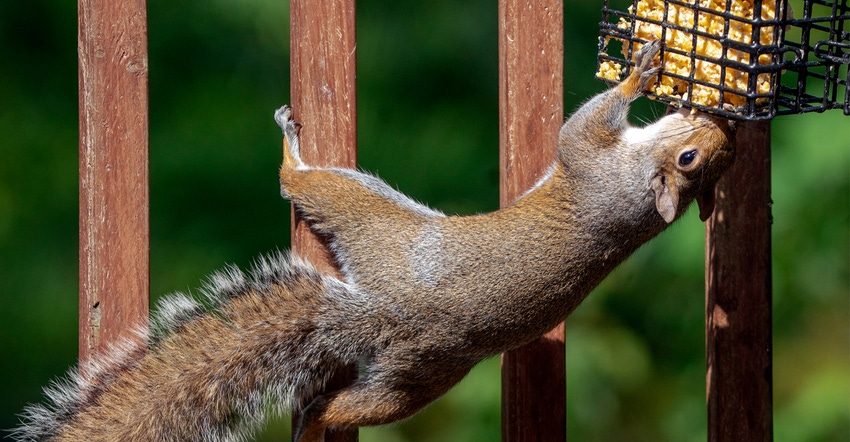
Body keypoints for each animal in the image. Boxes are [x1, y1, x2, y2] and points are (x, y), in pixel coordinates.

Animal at [9, 39, 732, 440]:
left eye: (690, 160)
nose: (720, 126)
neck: (642, 196)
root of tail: (382, 315)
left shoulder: (590, 160)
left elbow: (581, 124)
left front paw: (637, 75)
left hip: (372, 220)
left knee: (301, 186)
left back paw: (290, 154)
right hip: (413, 383)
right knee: (352, 407)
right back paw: (313, 424)